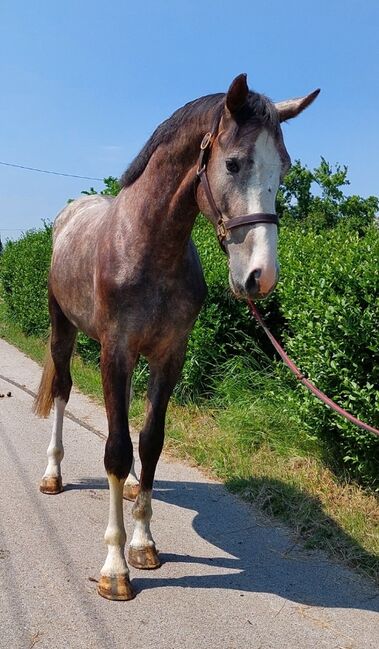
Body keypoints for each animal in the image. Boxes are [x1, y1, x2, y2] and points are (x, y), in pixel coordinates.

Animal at [34, 73, 320, 600]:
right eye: (233, 162)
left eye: (285, 167)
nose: (261, 276)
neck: (148, 247)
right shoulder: (115, 352)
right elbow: (116, 449)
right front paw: (115, 568)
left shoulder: (169, 356)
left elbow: (149, 442)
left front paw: (144, 544)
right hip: (63, 329)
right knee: (62, 392)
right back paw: (52, 474)